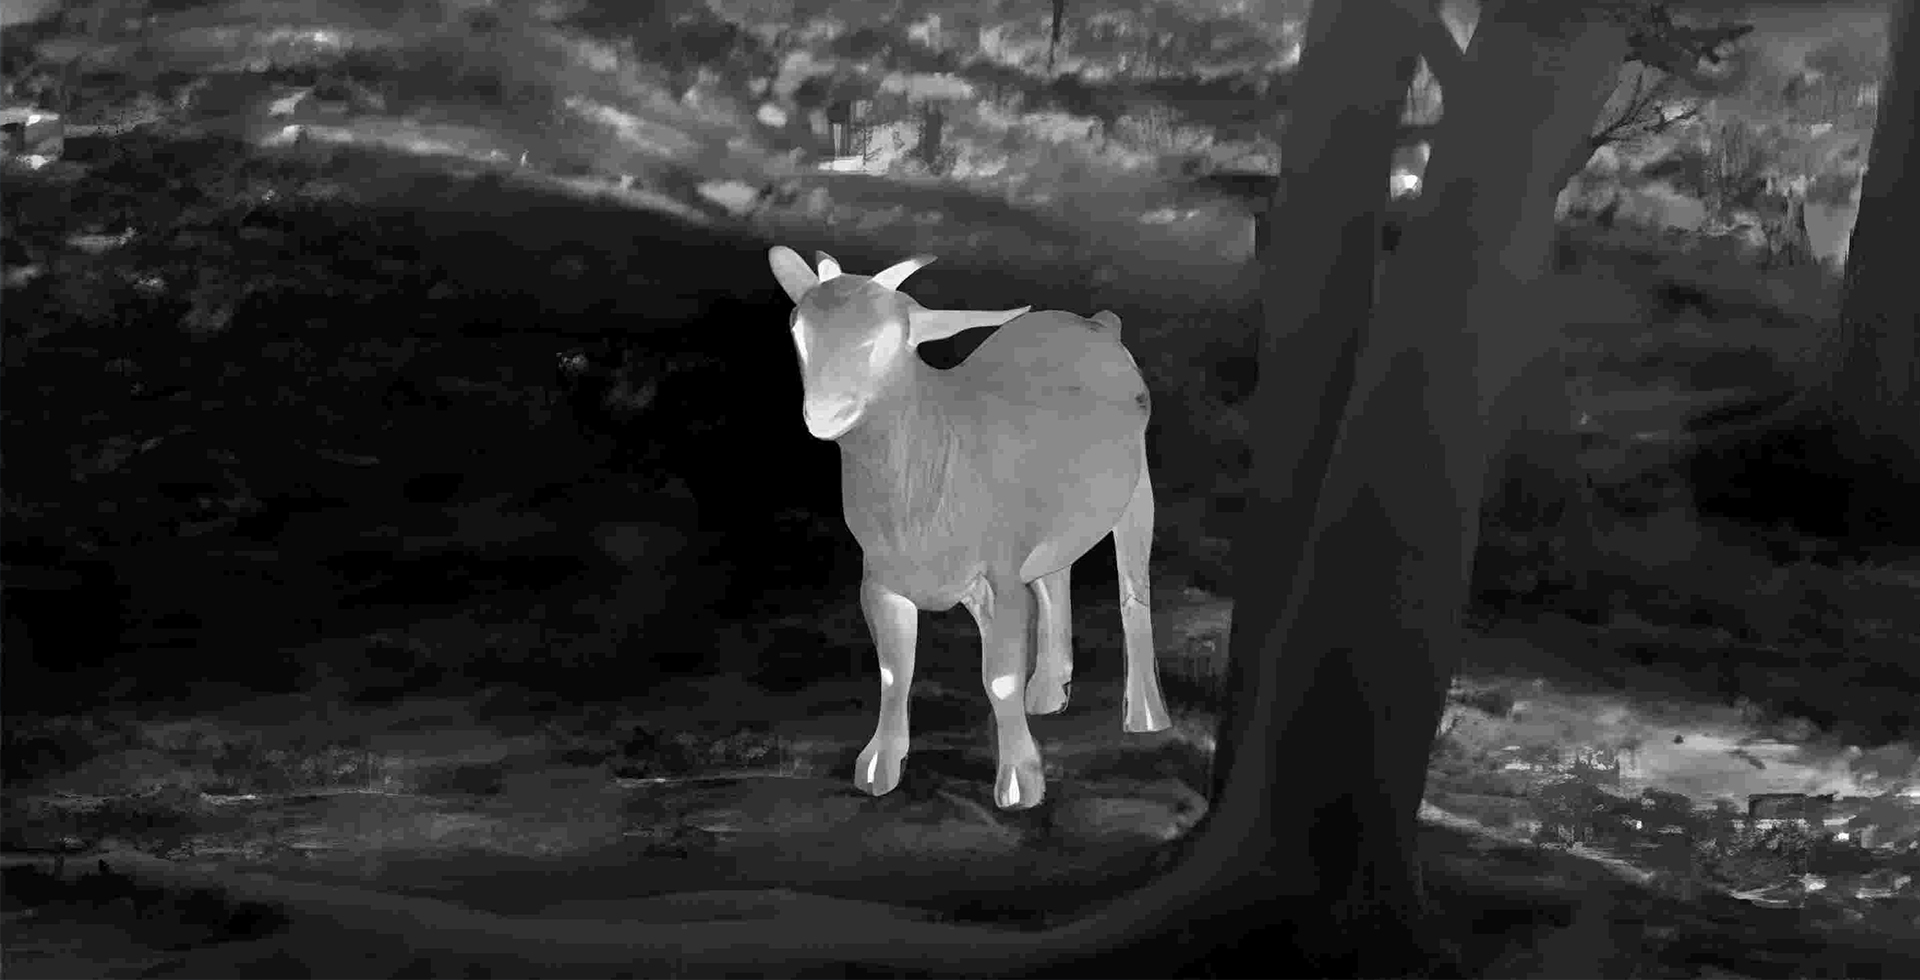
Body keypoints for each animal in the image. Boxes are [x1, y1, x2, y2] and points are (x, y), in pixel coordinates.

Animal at [767, 245, 1170, 810]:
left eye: (893, 336)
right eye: (798, 328)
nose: (826, 413)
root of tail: (1097, 324)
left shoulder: (998, 578)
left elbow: (998, 677)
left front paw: (1020, 781)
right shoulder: (882, 583)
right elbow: (894, 671)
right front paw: (880, 764)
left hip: (1135, 491)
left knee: (1133, 591)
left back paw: (1146, 716)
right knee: (1055, 576)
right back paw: (1048, 692)